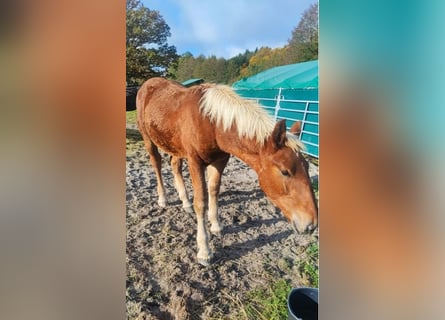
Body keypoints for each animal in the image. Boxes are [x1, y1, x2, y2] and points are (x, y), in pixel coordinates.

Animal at [137, 77, 318, 264]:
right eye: (285, 171)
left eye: (307, 167)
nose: (310, 225)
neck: (210, 122)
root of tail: (149, 83)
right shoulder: (195, 161)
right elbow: (201, 202)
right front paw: (204, 250)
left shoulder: (220, 160)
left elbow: (214, 190)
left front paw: (216, 225)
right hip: (148, 138)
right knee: (157, 164)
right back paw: (163, 198)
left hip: (174, 145)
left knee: (175, 165)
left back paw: (185, 201)